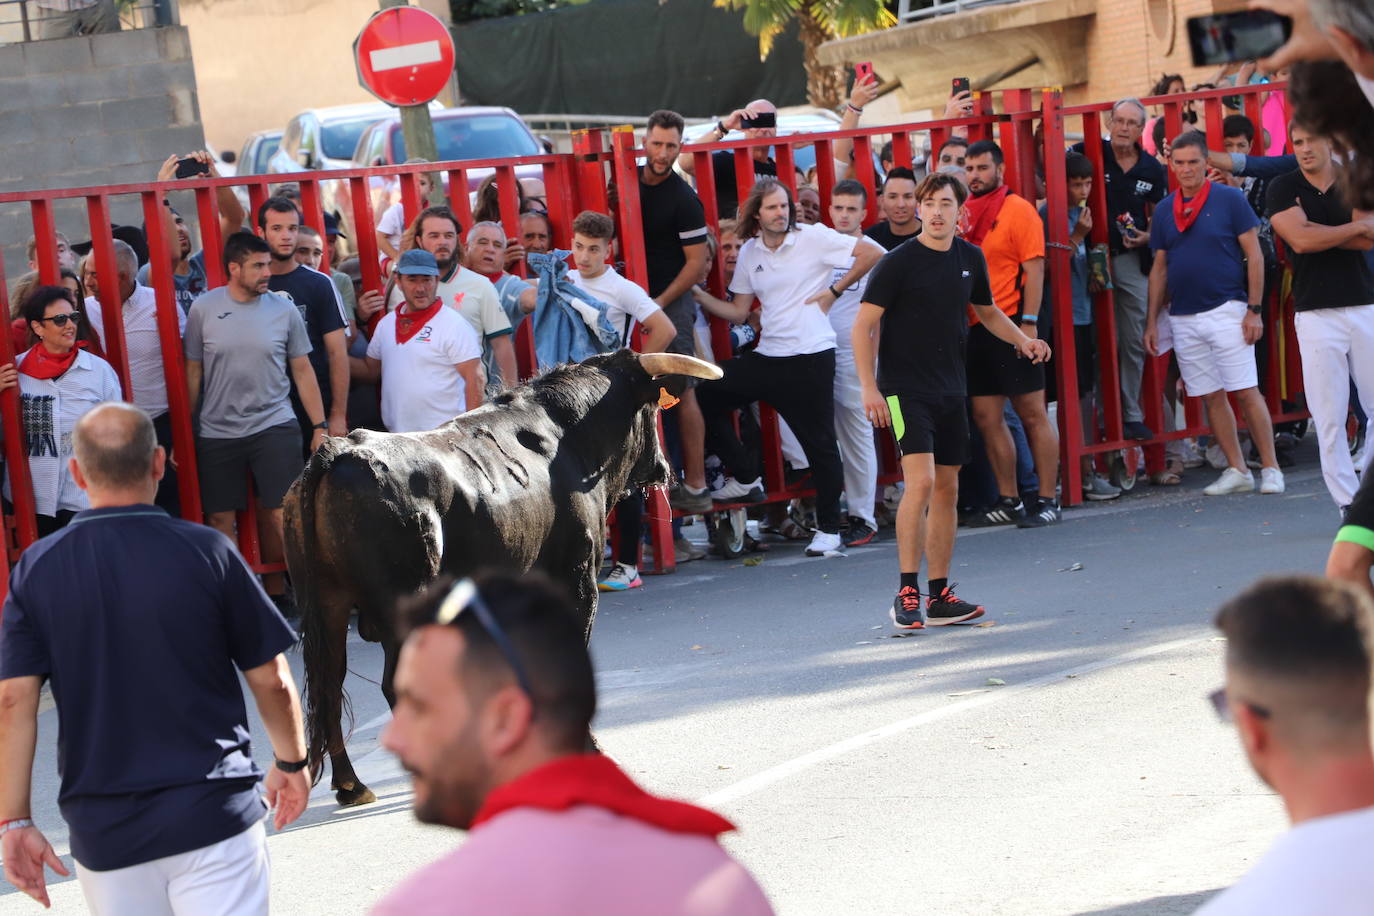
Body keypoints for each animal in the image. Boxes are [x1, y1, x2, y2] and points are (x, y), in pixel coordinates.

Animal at [285, 347, 725, 807]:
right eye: (652, 409)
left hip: (328, 607)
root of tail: (336, 452)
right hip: (400, 606)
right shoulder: (578, 579)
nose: (663, 468)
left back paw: (351, 784)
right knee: (392, 686)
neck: (566, 437)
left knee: (328, 686)